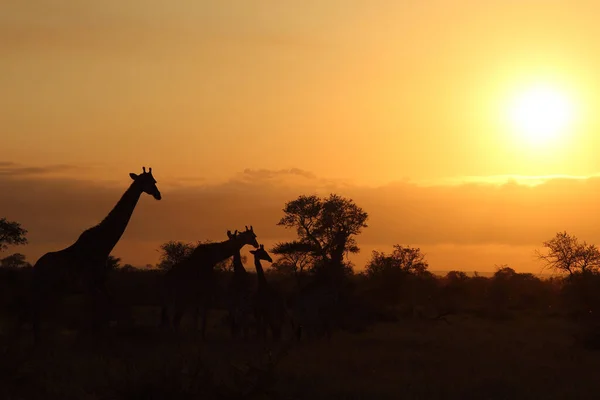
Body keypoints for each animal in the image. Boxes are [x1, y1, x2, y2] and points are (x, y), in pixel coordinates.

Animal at [29, 166, 162, 344]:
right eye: (148, 182)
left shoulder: (100, 282)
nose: (158, 195)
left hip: (55, 290)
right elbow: (92, 315)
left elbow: (108, 305)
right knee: (36, 312)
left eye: (154, 181)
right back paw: (38, 342)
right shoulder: (89, 285)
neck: (103, 245)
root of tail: (36, 266)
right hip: (44, 288)